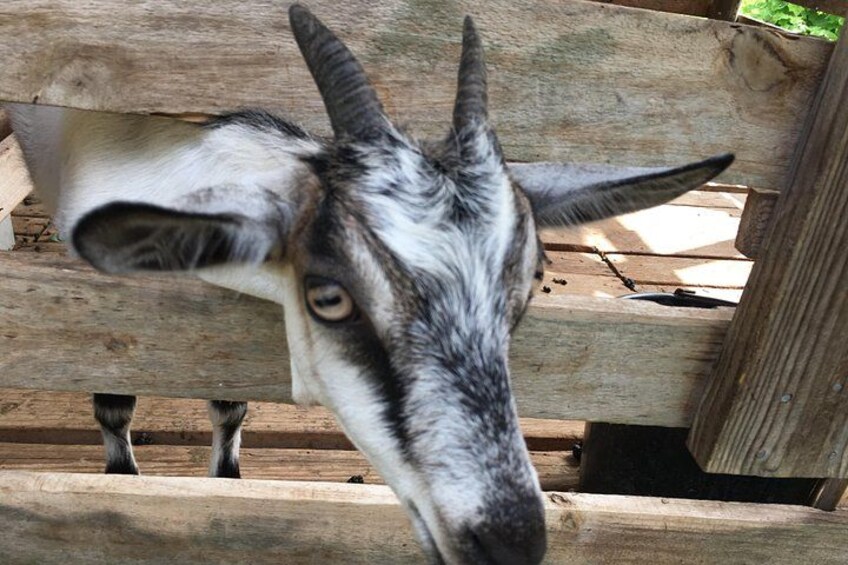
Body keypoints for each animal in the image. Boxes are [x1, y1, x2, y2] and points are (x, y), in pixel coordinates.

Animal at [7, 5, 732, 564]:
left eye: (527, 285)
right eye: (329, 297)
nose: (508, 540)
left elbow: (230, 408)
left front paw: (227, 480)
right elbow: (112, 400)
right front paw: (121, 477)